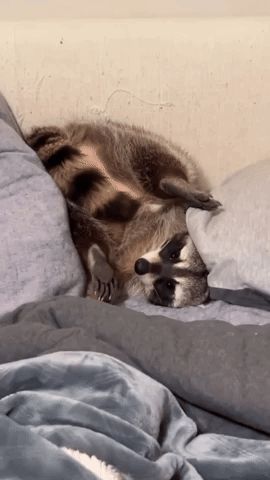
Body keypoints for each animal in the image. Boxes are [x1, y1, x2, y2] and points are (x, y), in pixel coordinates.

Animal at [24, 120, 219, 308]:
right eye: (174, 254)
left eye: (167, 285)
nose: (141, 266)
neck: (153, 244)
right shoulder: (183, 213)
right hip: (123, 138)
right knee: (154, 157)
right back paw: (171, 182)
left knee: (76, 215)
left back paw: (95, 253)